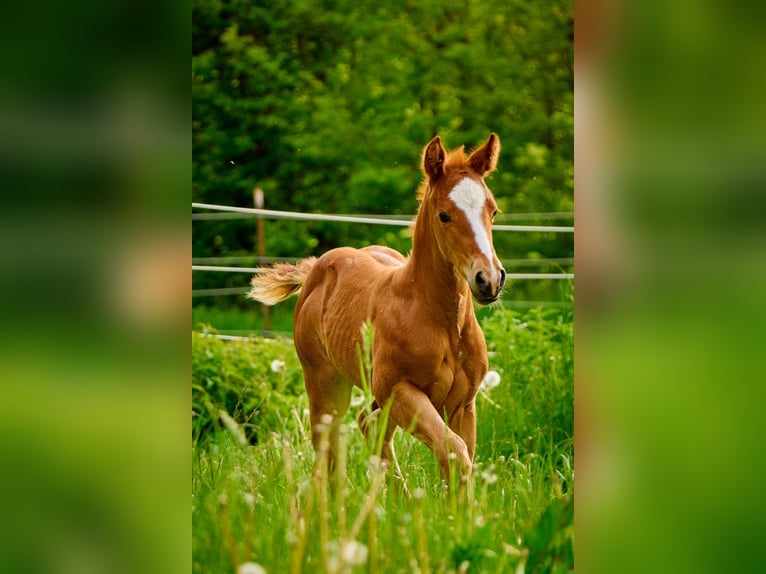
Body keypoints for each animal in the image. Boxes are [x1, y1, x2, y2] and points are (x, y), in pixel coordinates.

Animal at [249, 134, 508, 486]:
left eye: (492, 211)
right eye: (444, 215)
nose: (489, 279)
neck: (443, 324)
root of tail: (316, 267)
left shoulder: (463, 405)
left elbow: (460, 456)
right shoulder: (399, 390)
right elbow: (454, 451)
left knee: (368, 423)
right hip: (325, 384)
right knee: (327, 452)